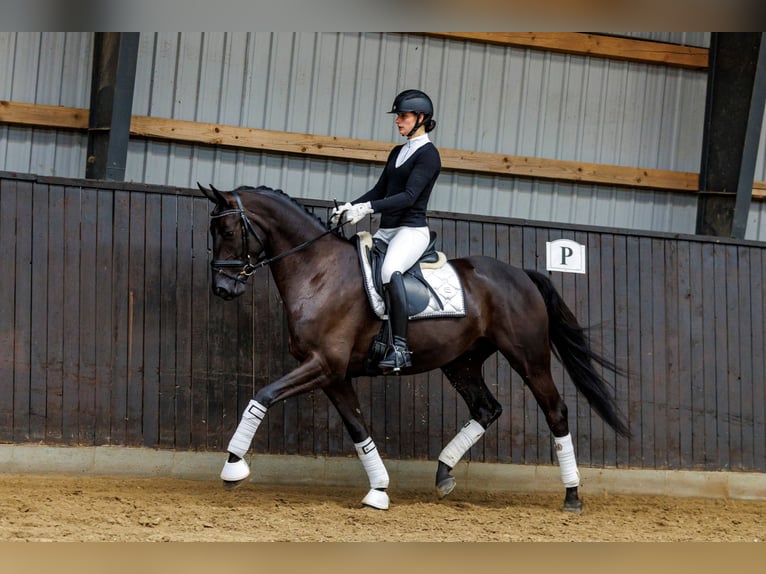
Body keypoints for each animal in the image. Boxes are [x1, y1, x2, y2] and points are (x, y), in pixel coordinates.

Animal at [198, 183, 632, 512]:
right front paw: (378, 490)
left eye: (228, 232)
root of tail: (520, 274)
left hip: (529, 357)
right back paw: (443, 474)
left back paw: (572, 495)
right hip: (462, 362)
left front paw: (233, 466)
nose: (222, 289)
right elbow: (358, 427)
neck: (319, 272)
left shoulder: (323, 364)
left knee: (555, 410)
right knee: (486, 409)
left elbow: (263, 395)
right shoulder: (332, 373)